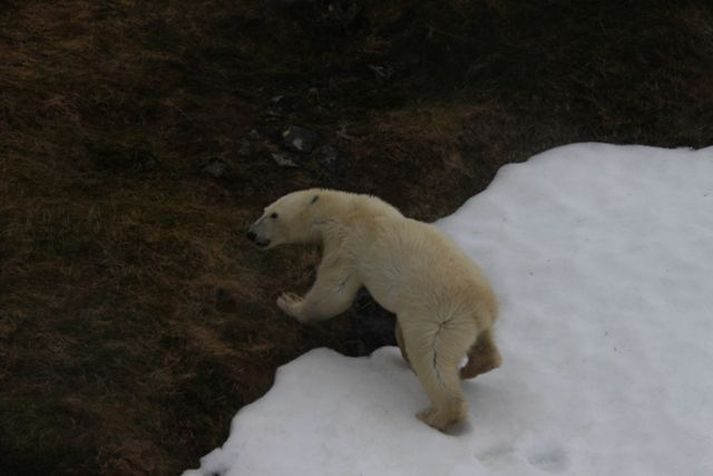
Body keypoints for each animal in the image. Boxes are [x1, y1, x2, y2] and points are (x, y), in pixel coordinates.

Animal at [246, 190, 500, 432]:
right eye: (264, 209)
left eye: (274, 214)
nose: (250, 233)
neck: (345, 210)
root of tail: (482, 307)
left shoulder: (347, 245)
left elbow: (333, 294)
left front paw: (289, 301)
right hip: (468, 323)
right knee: (484, 346)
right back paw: (470, 368)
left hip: (441, 318)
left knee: (432, 359)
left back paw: (435, 415)